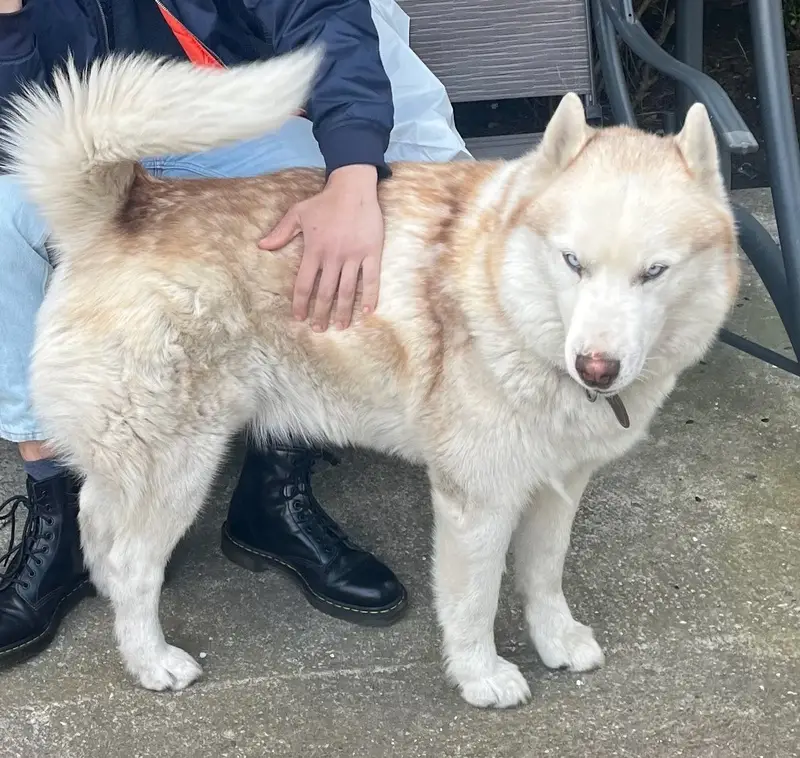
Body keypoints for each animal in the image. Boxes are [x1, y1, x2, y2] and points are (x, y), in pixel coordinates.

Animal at [2, 47, 739, 708]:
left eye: (655, 272)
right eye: (572, 261)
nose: (597, 366)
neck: (505, 292)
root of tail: (129, 207)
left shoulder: (557, 486)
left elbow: (543, 575)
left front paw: (554, 640)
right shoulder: (478, 498)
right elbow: (475, 602)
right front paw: (480, 676)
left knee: (99, 531)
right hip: (179, 465)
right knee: (130, 562)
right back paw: (149, 659)